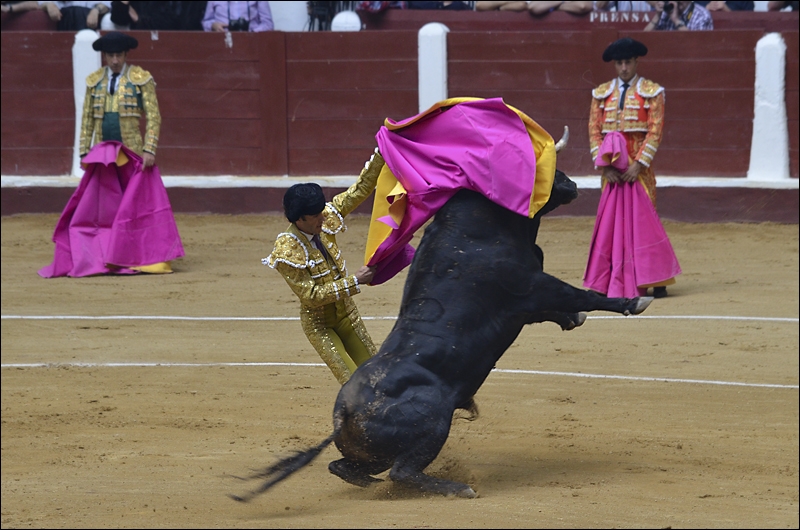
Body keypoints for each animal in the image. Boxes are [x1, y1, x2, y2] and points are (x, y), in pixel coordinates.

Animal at [230, 169, 648, 500]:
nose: (573, 183)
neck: (478, 225)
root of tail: (341, 418)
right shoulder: (532, 285)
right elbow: (584, 293)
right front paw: (634, 301)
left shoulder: (526, 305)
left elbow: (564, 306)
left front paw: (576, 318)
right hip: (435, 420)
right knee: (402, 471)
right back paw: (457, 488)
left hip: (377, 449)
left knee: (348, 467)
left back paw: (369, 483)